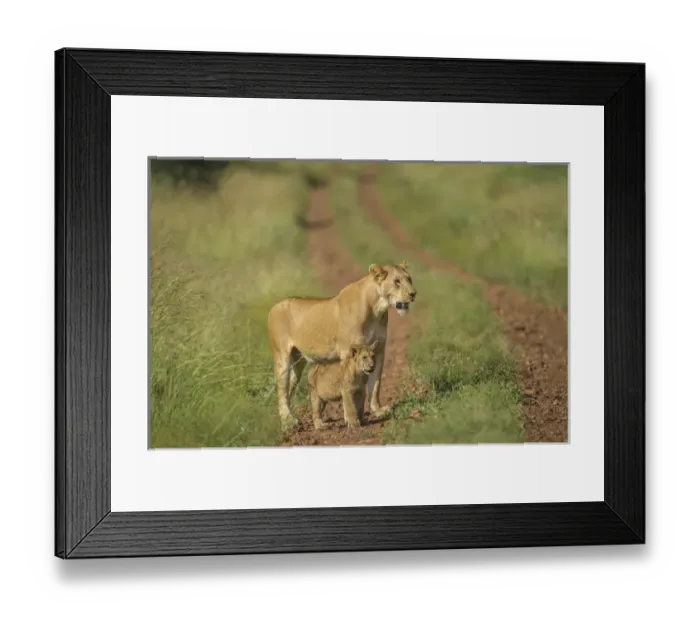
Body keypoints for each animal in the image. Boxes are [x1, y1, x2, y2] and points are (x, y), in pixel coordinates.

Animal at [267, 261, 417, 429]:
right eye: (397, 281)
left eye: (409, 279)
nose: (413, 294)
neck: (377, 309)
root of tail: (274, 307)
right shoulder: (347, 352)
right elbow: (348, 387)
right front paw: (350, 418)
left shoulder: (378, 351)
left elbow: (376, 384)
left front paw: (377, 410)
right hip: (282, 356)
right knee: (281, 390)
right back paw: (289, 421)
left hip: (298, 363)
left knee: (288, 391)